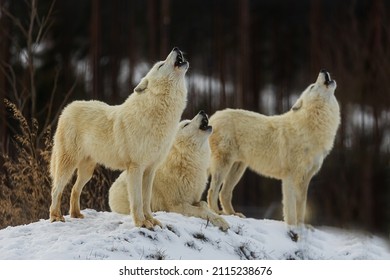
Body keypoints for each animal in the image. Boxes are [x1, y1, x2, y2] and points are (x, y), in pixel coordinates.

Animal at [48, 47, 189, 229]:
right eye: (161, 65)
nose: (176, 48)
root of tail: (67, 108)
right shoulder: (135, 168)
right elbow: (137, 201)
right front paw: (141, 223)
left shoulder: (150, 170)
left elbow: (146, 201)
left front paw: (151, 221)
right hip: (68, 165)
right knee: (56, 189)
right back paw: (55, 217)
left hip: (87, 171)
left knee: (74, 190)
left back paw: (76, 214)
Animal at [209, 69, 340, 232]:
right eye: (312, 86)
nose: (323, 70)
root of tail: (212, 117)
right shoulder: (290, 177)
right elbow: (291, 208)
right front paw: (292, 227)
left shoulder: (305, 178)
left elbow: (302, 207)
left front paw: (302, 226)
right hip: (224, 165)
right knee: (212, 191)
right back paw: (217, 212)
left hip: (238, 168)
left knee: (224, 193)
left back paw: (234, 214)